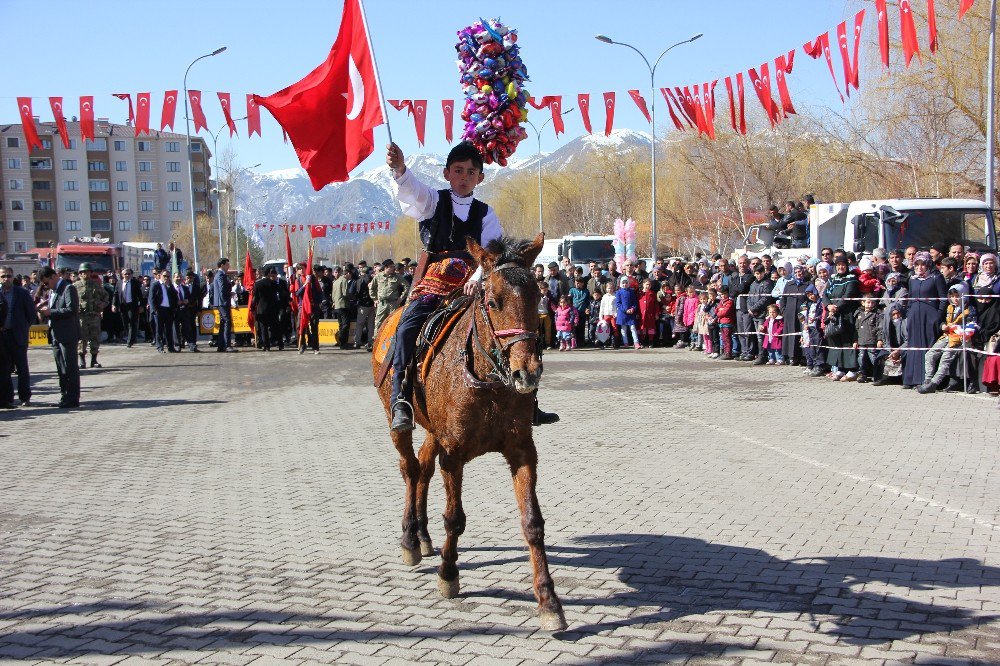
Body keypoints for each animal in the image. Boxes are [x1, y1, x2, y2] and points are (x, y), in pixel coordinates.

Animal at [372, 236, 568, 632]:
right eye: (493, 302)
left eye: (537, 298)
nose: (528, 372)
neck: (487, 378)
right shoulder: (455, 453)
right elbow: (455, 518)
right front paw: (448, 575)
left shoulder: (522, 450)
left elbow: (532, 523)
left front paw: (548, 601)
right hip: (397, 420)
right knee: (410, 469)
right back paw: (410, 538)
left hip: (434, 431)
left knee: (423, 469)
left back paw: (423, 535)